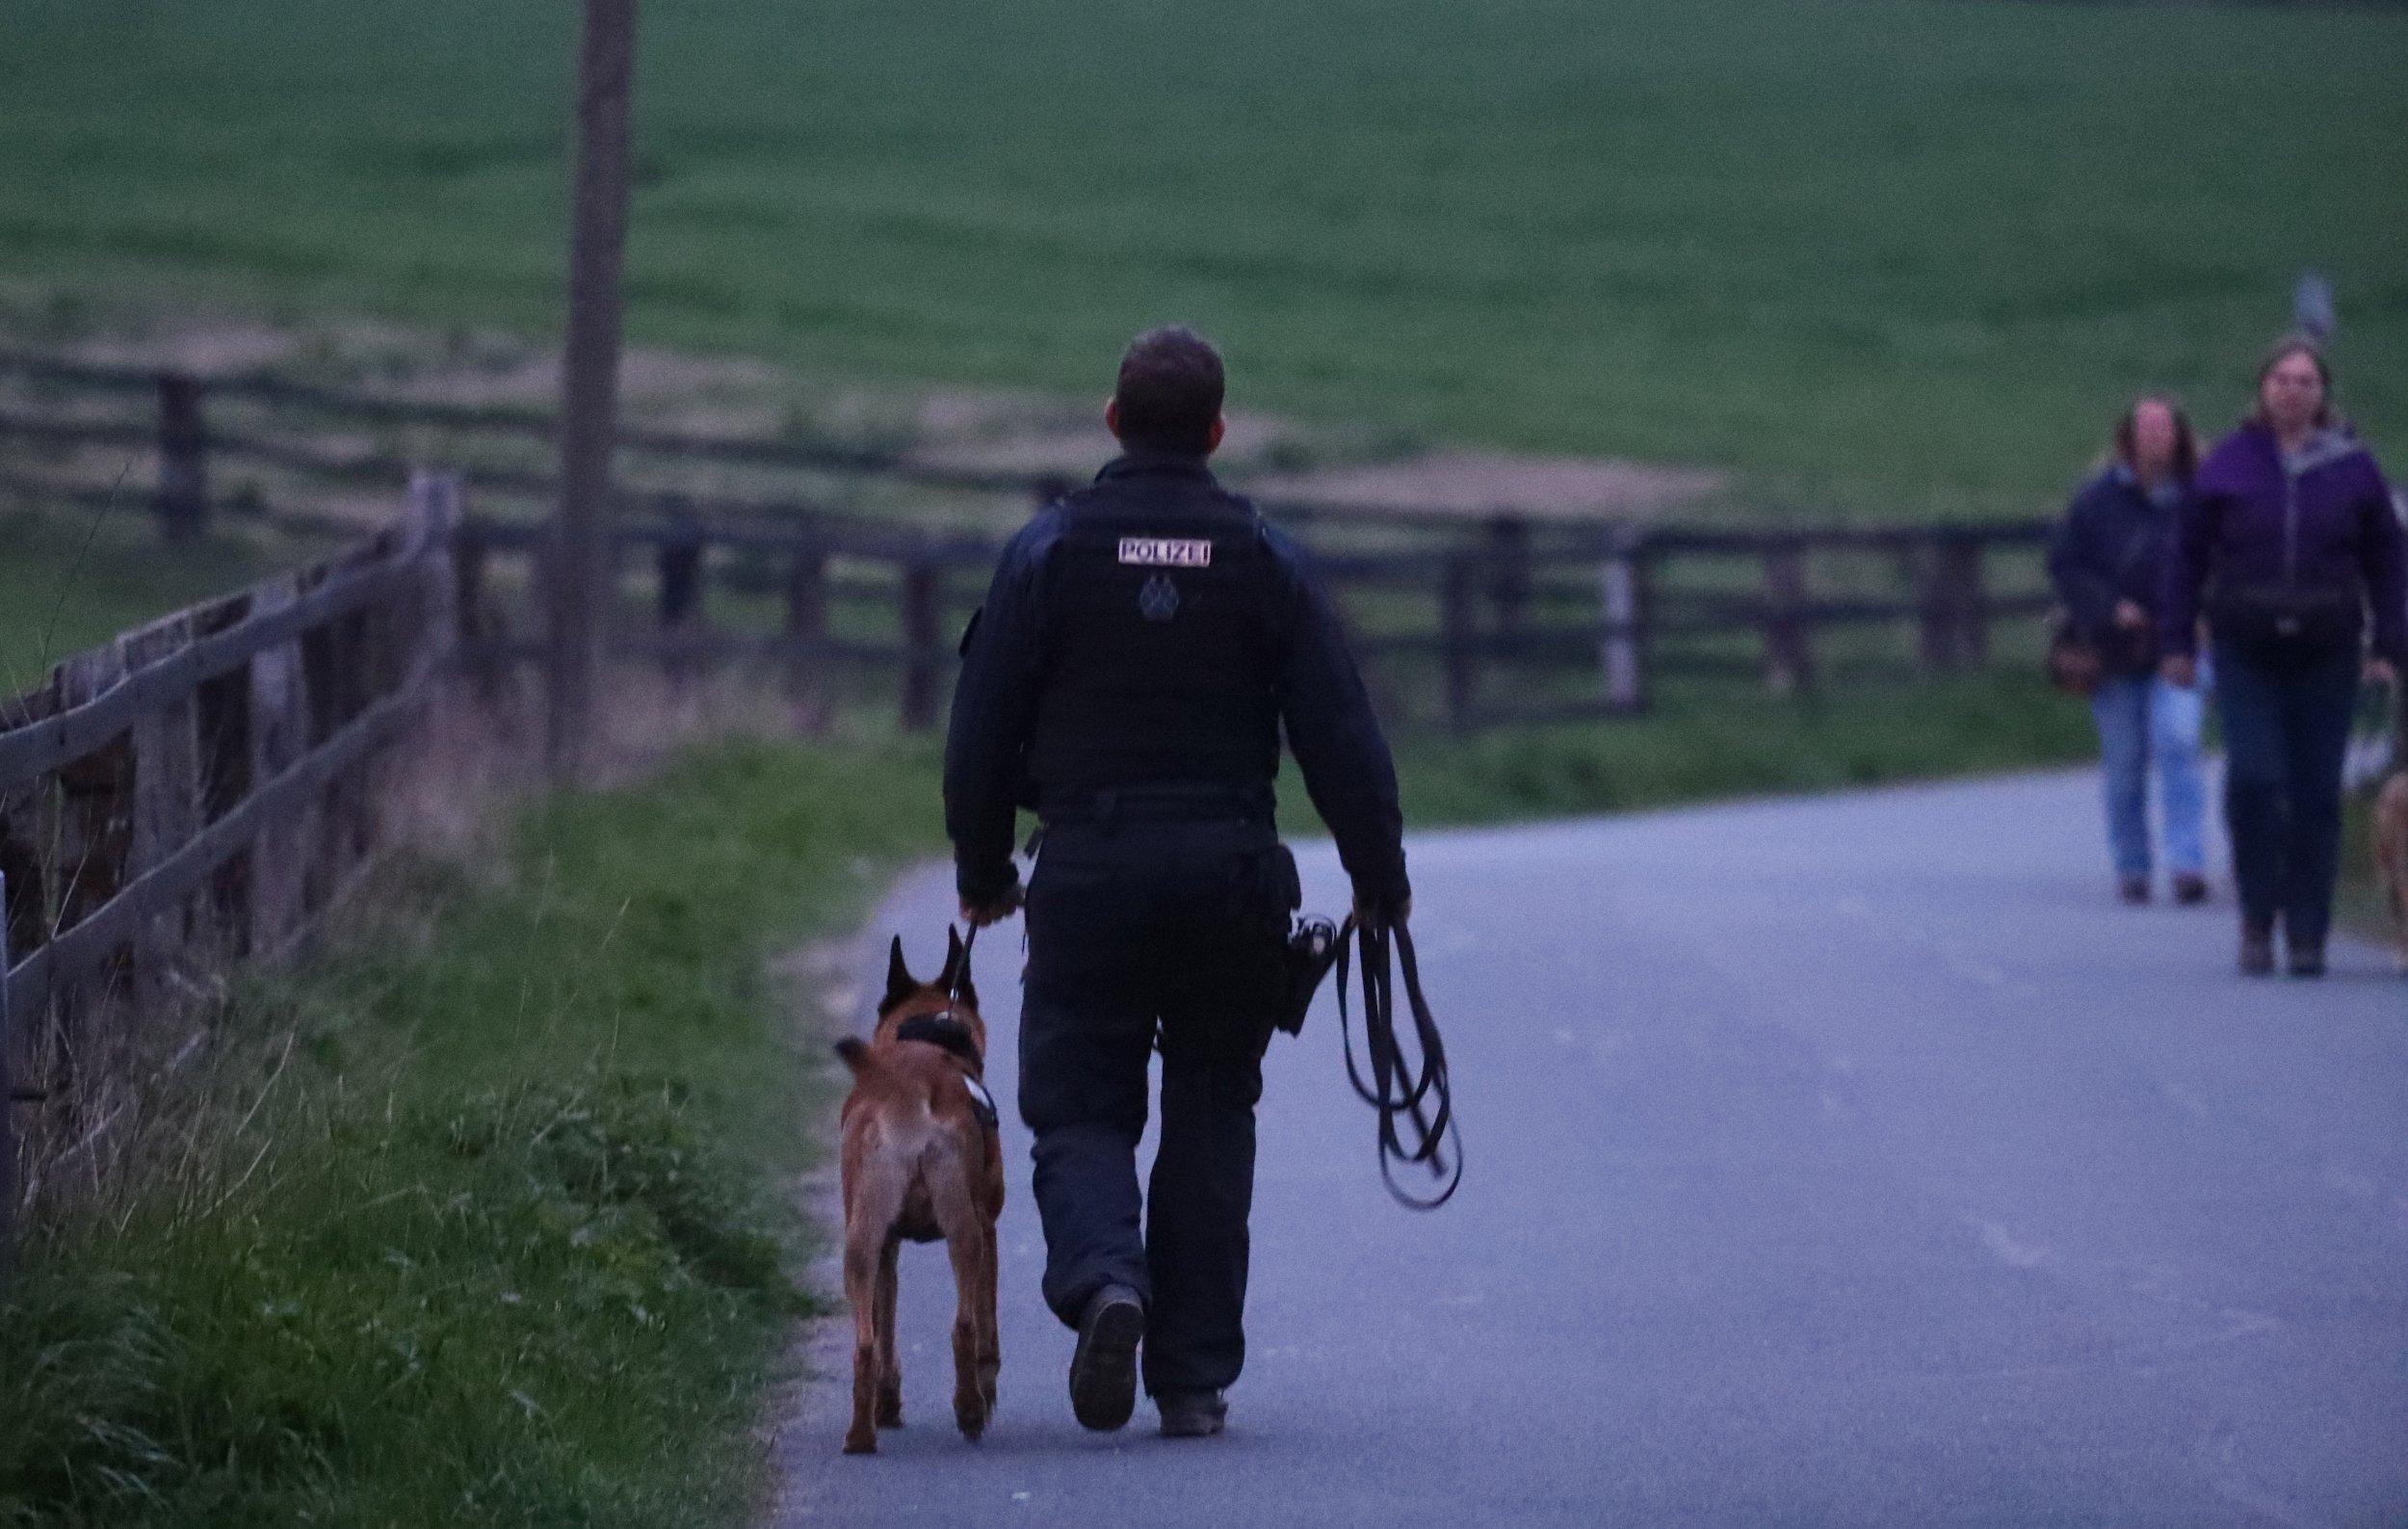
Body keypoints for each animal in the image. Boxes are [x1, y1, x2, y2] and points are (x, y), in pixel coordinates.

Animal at [838, 929, 1007, 1454]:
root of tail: (906, 1090)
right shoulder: (989, 1230)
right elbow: (988, 1332)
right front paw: (985, 1393)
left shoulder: (887, 1247)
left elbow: (886, 1330)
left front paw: (888, 1405)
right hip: (965, 1233)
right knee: (965, 1327)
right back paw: (970, 1409)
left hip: (861, 1244)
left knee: (865, 1345)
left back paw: (861, 1434)